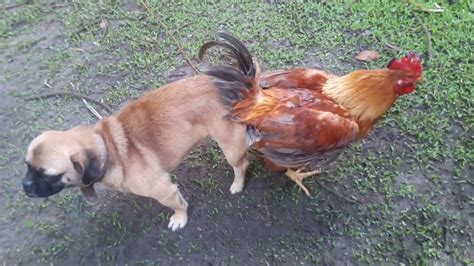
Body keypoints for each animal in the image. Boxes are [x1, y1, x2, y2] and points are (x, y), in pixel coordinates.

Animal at [22, 75, 250, 231]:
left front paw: (180, 218)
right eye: (27, 166)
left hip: (230, 148)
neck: (108, 146)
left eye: (47, 175)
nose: (24, 186)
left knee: (241, 165)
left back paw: (237, 184)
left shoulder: (165, 191)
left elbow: (178, 204)